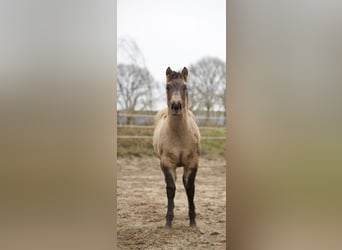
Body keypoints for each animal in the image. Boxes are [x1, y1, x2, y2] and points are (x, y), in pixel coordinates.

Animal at [153, 66, 200, 229]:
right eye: (168, 87)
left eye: (185, 87)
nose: (176, 106)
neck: (179, 135)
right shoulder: (167, 163)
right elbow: (171, 189)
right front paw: (168, 221)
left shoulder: (192, 162)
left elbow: (190, 188)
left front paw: (193, 222)